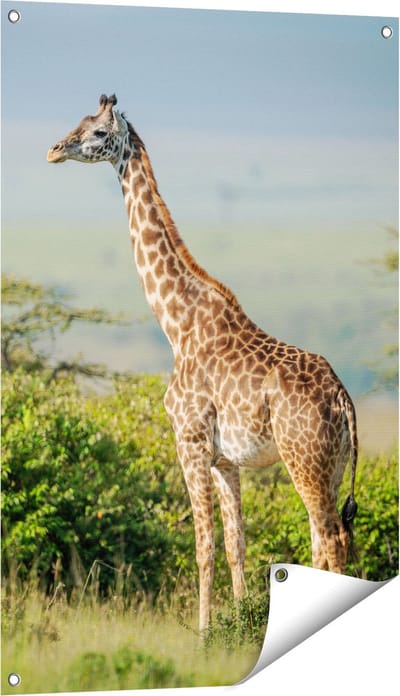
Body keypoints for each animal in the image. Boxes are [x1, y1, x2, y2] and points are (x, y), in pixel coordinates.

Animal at [47, 94, 358, 633]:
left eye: (96, 133)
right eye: (79, 122)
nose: (53, 150)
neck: (176, 323)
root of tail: (343, 398)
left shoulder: (188, 442)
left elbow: (202, 546)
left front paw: (204, 632)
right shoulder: (225, 460)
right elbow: (236, 545)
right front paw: (241, 621)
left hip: (304, 461)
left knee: (330, 539)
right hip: (332, 466)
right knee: (326, 537)